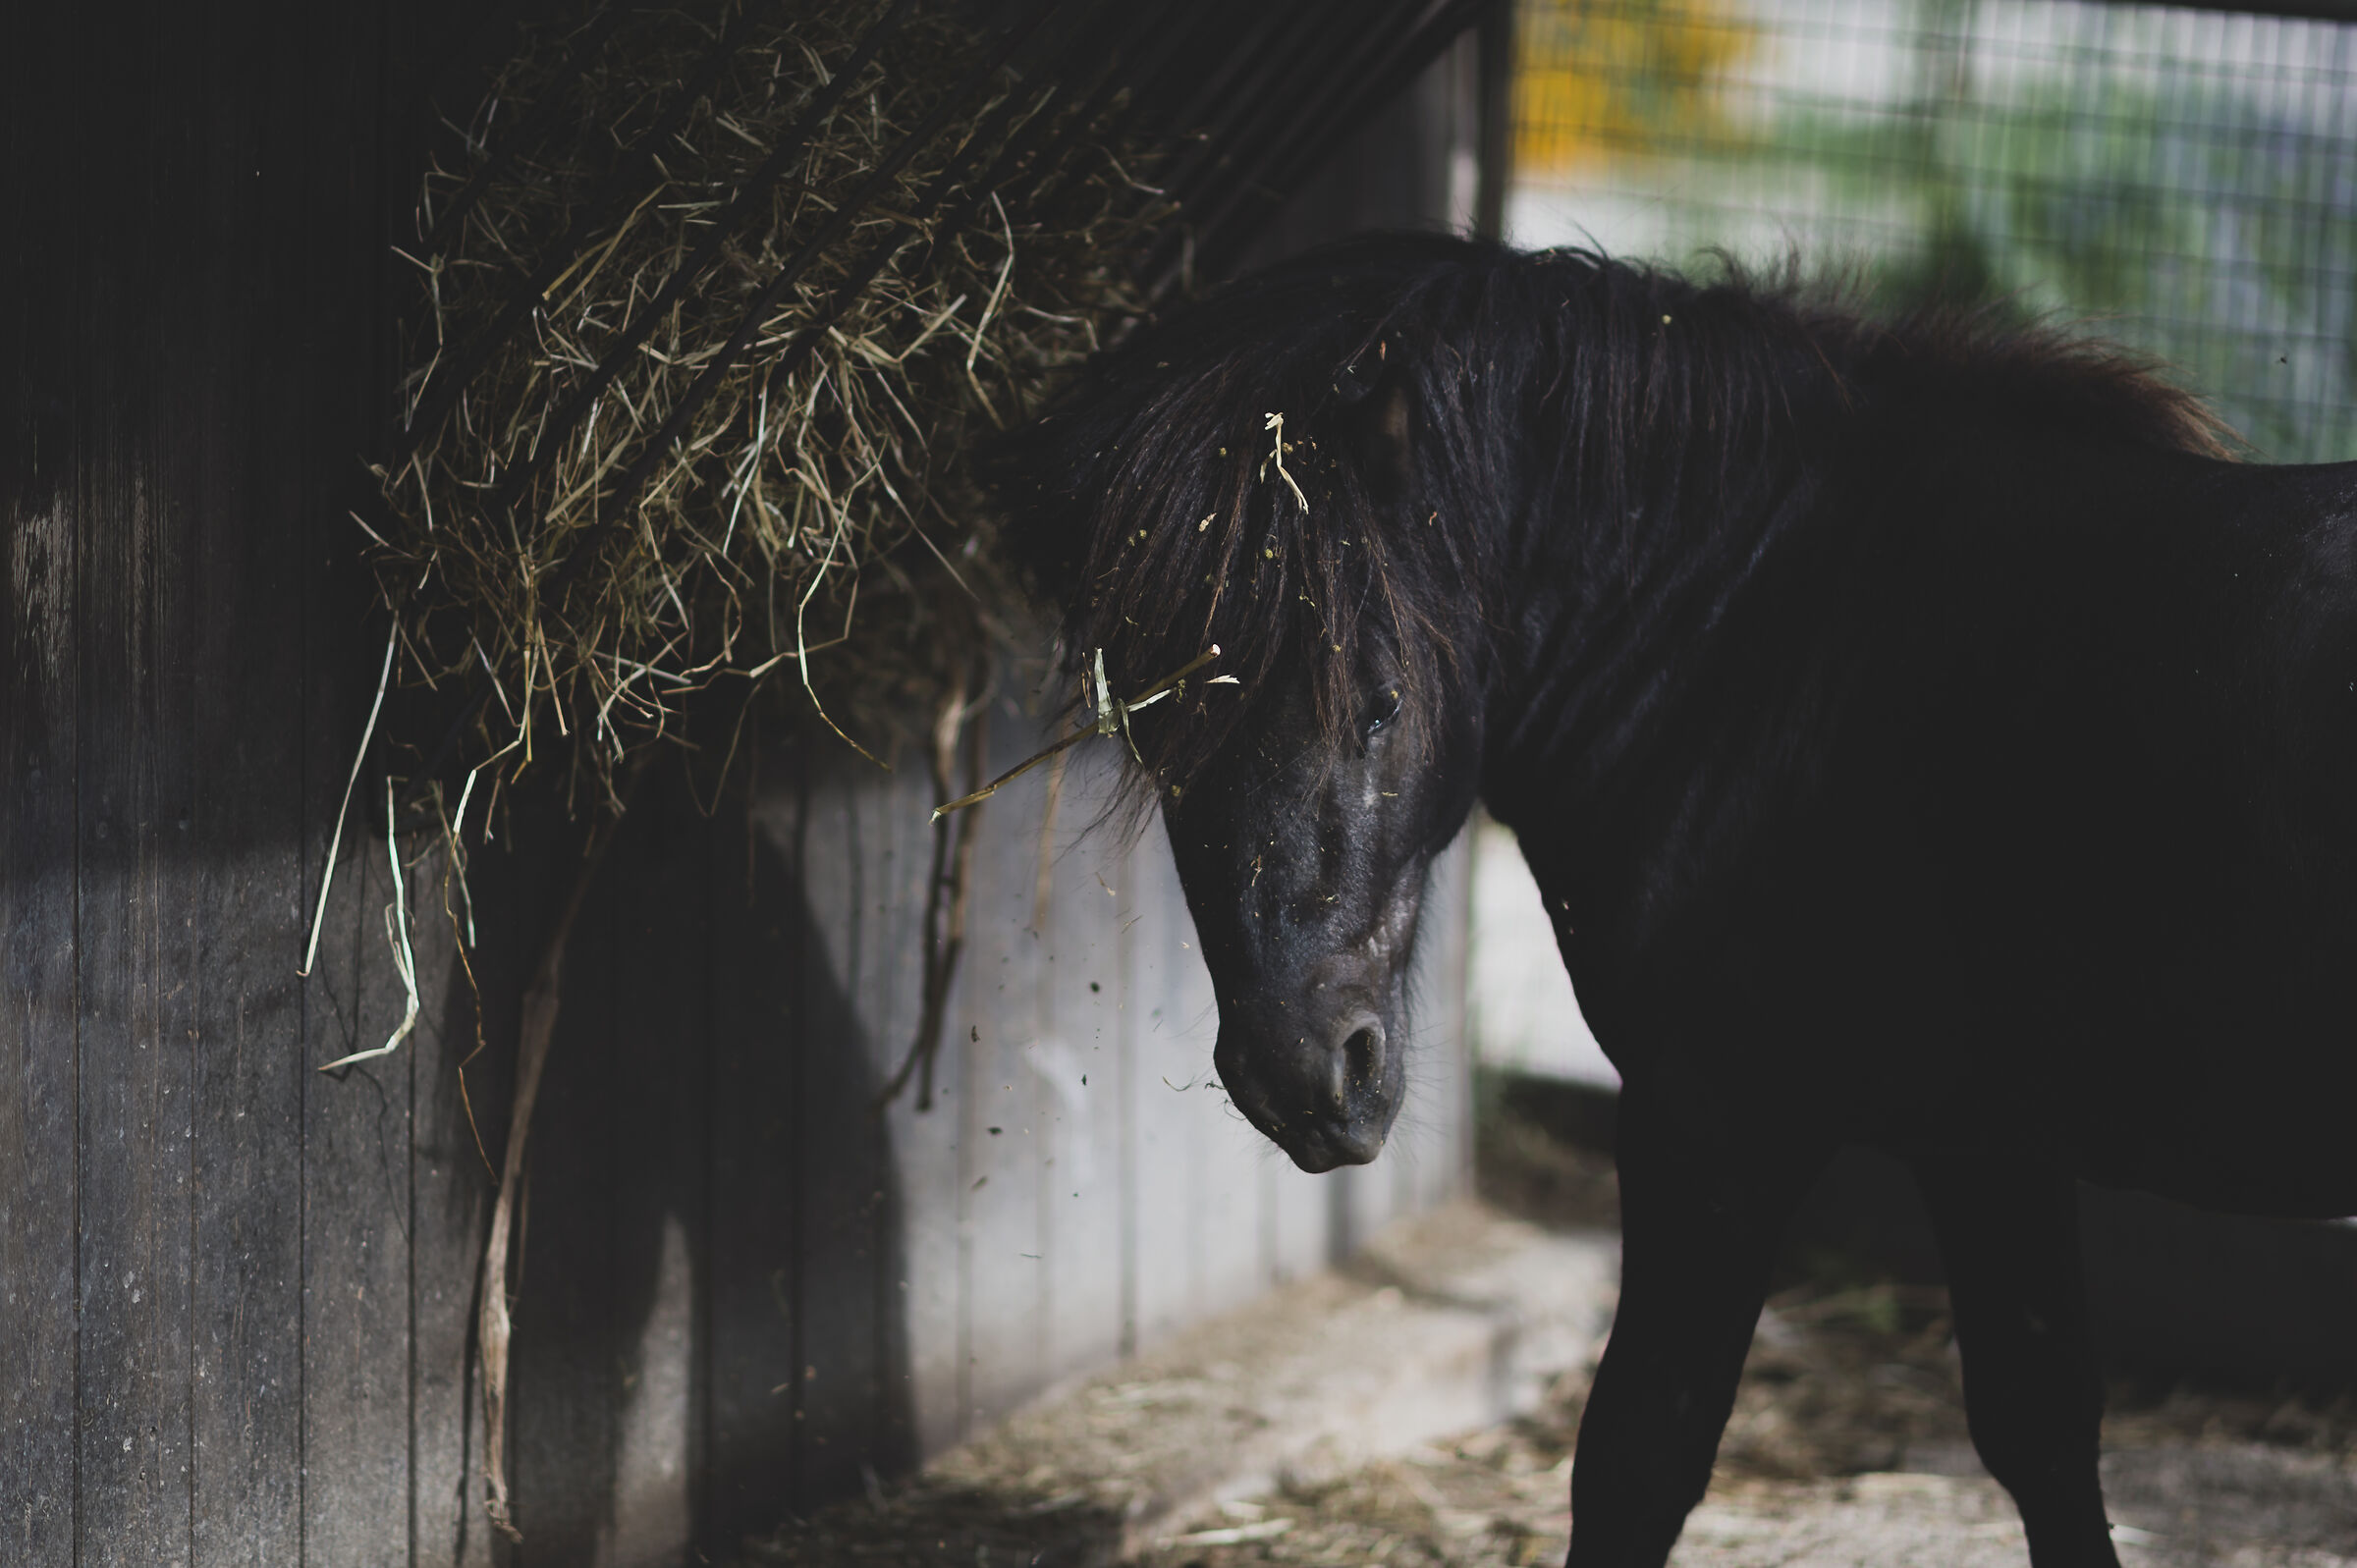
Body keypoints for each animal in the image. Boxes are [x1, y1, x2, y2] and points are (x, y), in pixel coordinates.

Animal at [991, 232, 2357, 1566]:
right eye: (1151, 735)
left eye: (1379, 700)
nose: (1304, 1076)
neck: (1774, 631)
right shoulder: (1986, 1139)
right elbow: (2043, 1434)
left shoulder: (1715, 1121)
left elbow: (1639, 1461)